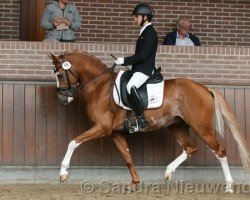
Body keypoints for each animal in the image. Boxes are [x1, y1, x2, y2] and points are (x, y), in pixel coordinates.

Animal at [49, 51, 250, 192]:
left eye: (60, 75)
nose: (62, 100)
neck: (100, 87)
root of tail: (204, 89)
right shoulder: (115, 133)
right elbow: (127, 157)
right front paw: (135, 183)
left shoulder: (102, 128)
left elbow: (73, 142)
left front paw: (63, 173)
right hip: (177, 126)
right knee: (190, 148)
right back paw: (168, 172)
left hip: (202, 128)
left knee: (220, 151)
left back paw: (229, 186)